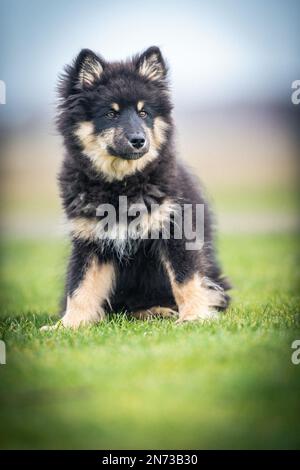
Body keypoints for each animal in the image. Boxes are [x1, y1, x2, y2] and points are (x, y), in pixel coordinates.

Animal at [41, 46, 230, 328]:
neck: (122, 185)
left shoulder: (174, 229)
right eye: (111, 113)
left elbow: (184, 279)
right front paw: (67, 326)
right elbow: (79, 287)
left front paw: (194, 317)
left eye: (143, 113)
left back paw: (161, 310)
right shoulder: (90, 239)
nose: (139, 140)